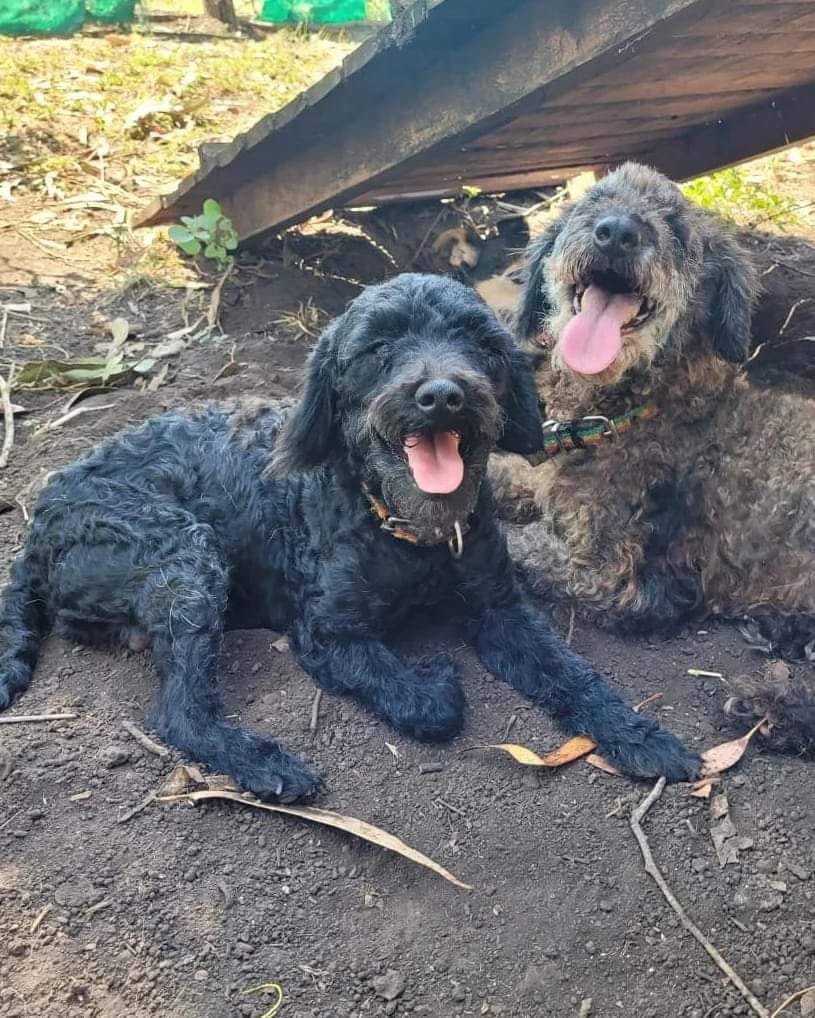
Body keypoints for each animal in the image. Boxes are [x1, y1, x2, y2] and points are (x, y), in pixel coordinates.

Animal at [0, 274, 700, 798]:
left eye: (479, 344)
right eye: (380, 347)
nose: (443, 395)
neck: (406, 532)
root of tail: (38, 525)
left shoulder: (501, 610)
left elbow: (572, 674)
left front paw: (638, 735)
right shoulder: (328, 635)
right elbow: (429, 703)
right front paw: (435, 682)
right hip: (186, 557)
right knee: (178, 713)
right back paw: (265, 764)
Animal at [490, 162, 813, 753]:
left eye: (678, 231)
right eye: (594, 201)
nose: (616, 232)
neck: (620, 412)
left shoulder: (612, 576)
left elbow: (514, 543)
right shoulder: (538, 480)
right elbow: (502, 476)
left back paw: (773, 708)